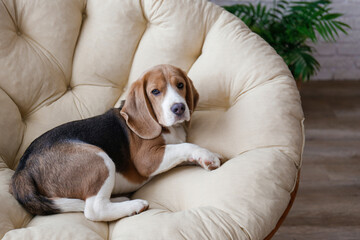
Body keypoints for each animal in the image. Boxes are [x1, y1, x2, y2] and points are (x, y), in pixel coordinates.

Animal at [9, 63, 221, 221]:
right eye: (155, 91)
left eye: (180, 85)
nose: (179, 108)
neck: (167, 127)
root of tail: (23, 167)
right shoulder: (147, 159)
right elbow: (185, 146)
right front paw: (207, 155)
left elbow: (180, 149)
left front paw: (208, 156)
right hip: (99, 158)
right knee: (94, 209)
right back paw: (133, 205)